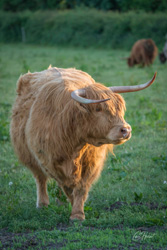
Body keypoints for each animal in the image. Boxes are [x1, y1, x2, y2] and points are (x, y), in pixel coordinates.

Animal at [10, 66, 157, 221]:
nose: (126, 130)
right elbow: (66, 186)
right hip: (28, 155)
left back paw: (60, 202)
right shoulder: (50, 161)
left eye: (120, 108)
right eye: (98, 109)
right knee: (40, 178)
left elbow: (81, 187)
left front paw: (77, 213)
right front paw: (74, 208)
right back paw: (42, 204)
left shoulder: (92, 162)